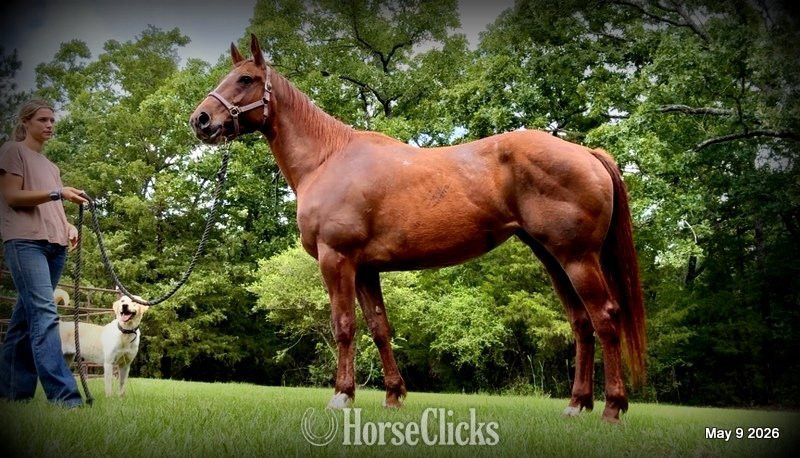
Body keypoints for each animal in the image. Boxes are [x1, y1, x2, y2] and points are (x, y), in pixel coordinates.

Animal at [190, 34, 645, 423]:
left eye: (245, 79)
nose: (201, 120)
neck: (327, 159)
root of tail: (586, 152)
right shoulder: (365, 269)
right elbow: (379, 328)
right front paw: (393, 396)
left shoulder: (337, 260)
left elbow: (343, 327)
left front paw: (342, 396)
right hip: (553, 258)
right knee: (581, 323)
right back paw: (577, 404)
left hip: (577, 258)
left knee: (605, 317)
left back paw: (612, 408)